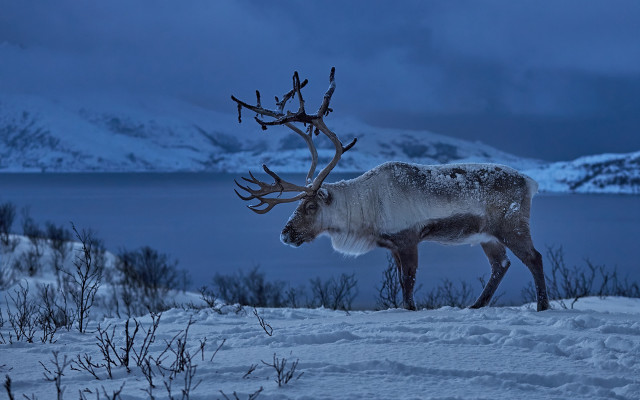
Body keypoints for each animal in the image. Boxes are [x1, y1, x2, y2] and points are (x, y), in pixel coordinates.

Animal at [231, 68, 550, 312]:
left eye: (310, 206)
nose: (285, 234)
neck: (366, 207)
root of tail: (530, 182)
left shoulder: (408, 238)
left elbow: (408, 285)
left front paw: (410, 309)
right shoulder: (393, 245)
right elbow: (400, 283)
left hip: (511, 225)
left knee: (534, 258)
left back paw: (542, 306)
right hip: (487, 235)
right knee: (501, 265)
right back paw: (475, 305)